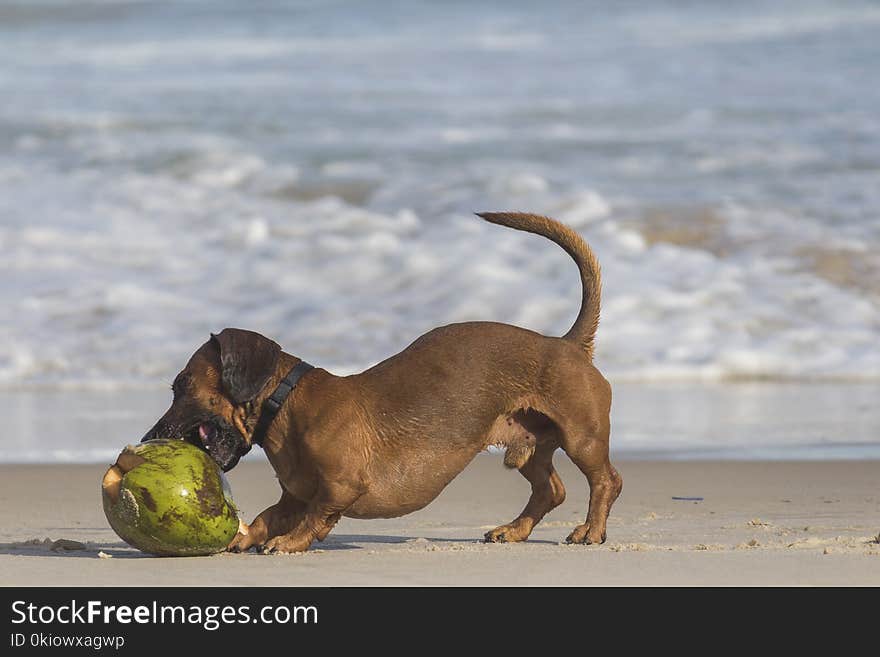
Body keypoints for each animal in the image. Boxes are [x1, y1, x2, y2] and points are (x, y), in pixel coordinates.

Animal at [143, 213, 620, 552]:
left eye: (182, 385)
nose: (149, 439)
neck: (289, 404)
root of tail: (567, 343)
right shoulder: (293, 495)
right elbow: (268, 515)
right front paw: (246, 537)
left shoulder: (340, 487)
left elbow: (317, 517)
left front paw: (290, 542)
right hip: (529, 449)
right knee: (551, 490)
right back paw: (515, 530)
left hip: (582, 438)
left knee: (606, 481)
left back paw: (590, 531)